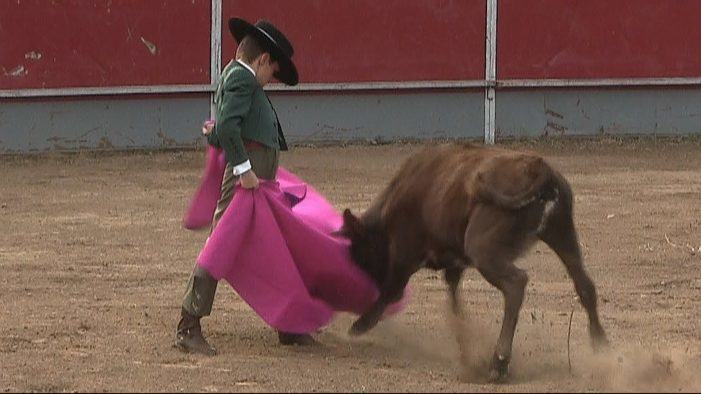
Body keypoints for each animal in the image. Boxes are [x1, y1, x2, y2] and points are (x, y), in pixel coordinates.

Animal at [340, 143, 608, 380]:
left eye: (362, 255)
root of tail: (539, 168)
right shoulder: (454, 263)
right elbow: (454, 299)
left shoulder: (405, 252)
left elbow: (392, 290)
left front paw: (359, 325)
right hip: (562, 233)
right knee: (584, 284)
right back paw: (601, 347)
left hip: (483, 249)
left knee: (516, 283)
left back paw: (499, 362)